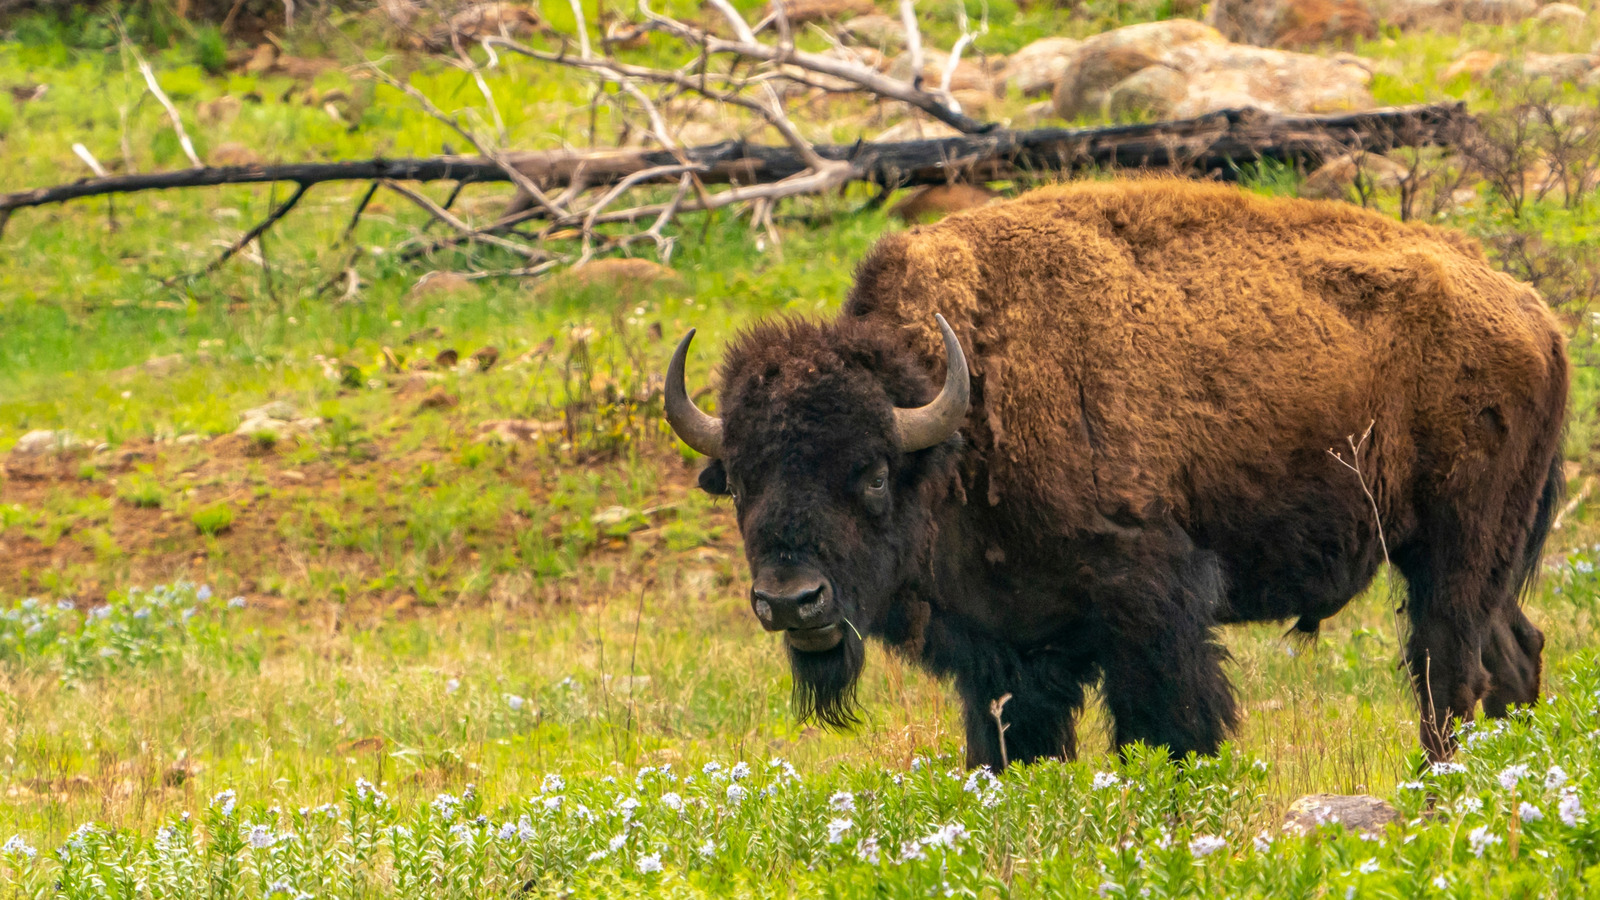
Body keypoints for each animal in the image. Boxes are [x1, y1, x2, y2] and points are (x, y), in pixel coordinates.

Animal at [659, 178, 1561, 768]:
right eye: (741, 479)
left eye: (873, 473)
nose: (791, 601)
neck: (967, 406)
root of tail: (1529, 308)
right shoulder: (1007, 650)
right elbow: (1011, 746)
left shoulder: (1152, 607)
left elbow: (1169, 730)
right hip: (1480, 558)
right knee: (1512, 655)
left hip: (1456, 551)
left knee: (1449, 671)